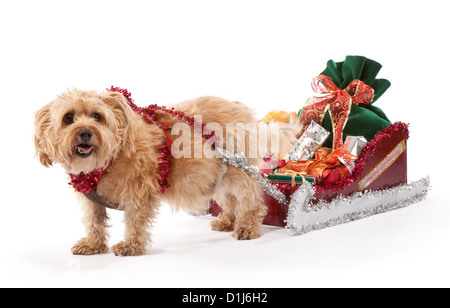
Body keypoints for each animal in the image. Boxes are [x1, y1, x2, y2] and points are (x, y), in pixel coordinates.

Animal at [33, 88, 298, 256]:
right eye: (68, 118)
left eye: (97, 116)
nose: (85, 132)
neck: (107, 162)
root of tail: (243, 110)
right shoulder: (92, 201)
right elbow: (94, 221)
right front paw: (93, 244)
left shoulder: (139, 192)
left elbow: (135, 220)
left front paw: (131, 246)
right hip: (216, 173)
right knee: (229, 198)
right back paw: (228, 221)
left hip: (238, 170)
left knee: (251, 197)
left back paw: (246, 227)